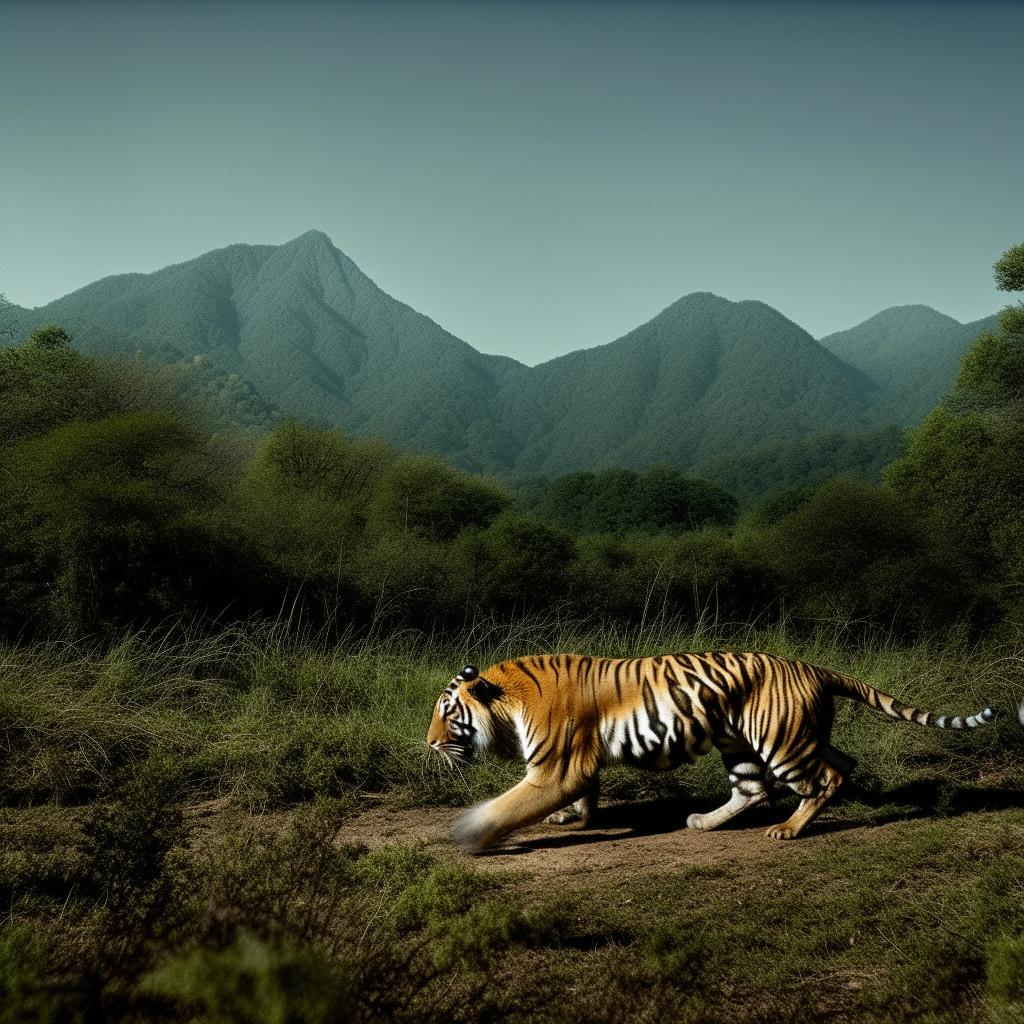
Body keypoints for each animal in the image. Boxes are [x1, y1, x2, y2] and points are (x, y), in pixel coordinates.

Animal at [425, 651, 1024, 851]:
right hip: (747, 742)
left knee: (820, 780)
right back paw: (704, 822)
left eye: (447, 712)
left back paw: (789, 830)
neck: (506, 700)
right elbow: (584, 796)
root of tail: (812, 667)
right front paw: (573, 820)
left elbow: (511, 806)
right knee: (770, 784)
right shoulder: (577, 765)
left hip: (781, 742)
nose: (428, 743)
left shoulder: (555, 768)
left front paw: (471, 833)